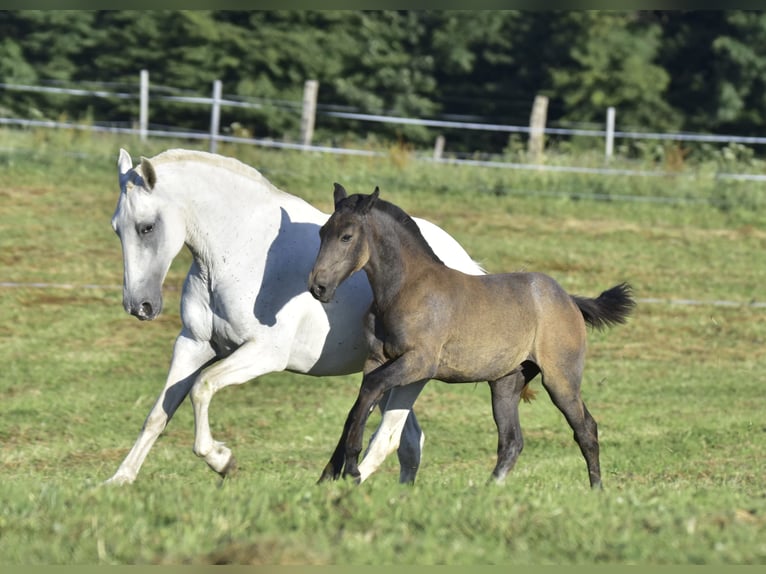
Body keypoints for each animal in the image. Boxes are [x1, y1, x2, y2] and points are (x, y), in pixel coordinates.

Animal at [106, 148, 486, 486]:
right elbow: (158, 414)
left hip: (412, 374)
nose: (140, 306)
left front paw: (223, 461)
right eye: (116, 229)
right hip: (387, 374)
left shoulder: (264, 354)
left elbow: (203, 386)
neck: (239, 252)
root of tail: (465, 267)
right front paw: (120, 479)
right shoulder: (193, 344)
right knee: (409, 442)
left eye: (146, 227)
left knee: (389, 440)